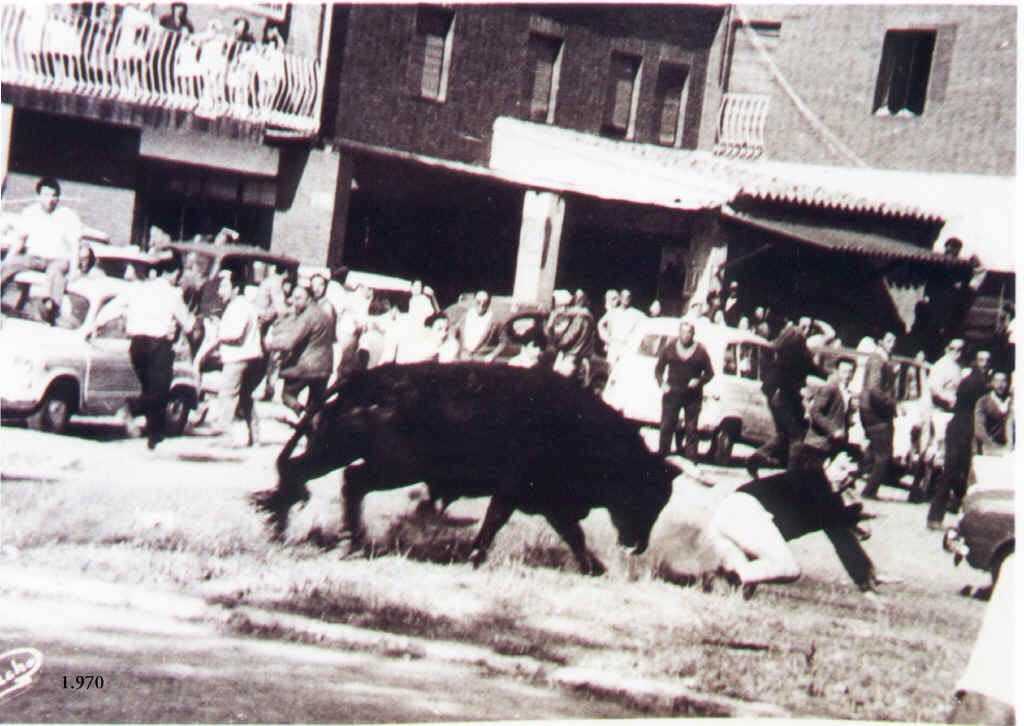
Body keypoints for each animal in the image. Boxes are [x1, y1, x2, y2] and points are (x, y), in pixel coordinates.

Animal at [251, 362, 675, 573]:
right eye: (644, 494)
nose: (638, 545)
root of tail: (367, 377)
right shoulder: (519, 493)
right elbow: (504, 524)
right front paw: (475, 557)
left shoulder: (542, 501)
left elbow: (570, 533)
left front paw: (594, 567)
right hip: (389, 467)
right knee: (349, 481)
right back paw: (348, 540)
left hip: (336, 449)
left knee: (302, 473)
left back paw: (289, 529)